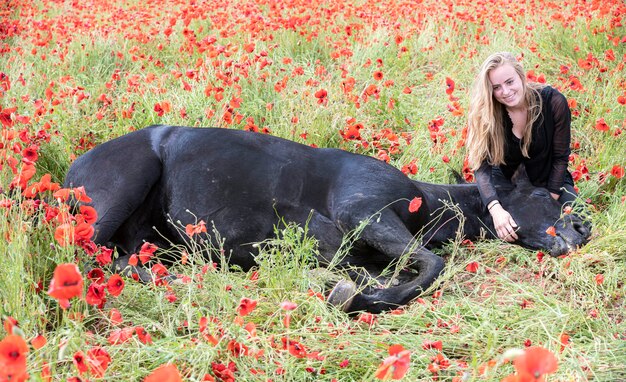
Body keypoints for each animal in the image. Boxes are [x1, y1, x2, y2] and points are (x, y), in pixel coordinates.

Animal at [64, 125, 588, 314]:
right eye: (541, 193)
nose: (583, 228)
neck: (426, 201)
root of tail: (71, 169)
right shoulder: (363, 212)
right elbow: (433, 266)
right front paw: (357, 298)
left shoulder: (351, 247)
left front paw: (351, 290)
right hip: (121, 189)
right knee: (86, 258)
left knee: (125, 259)